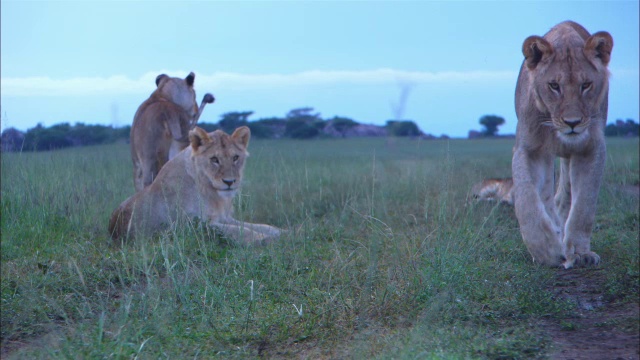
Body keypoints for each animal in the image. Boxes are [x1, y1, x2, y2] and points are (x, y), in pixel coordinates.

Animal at [110, 125, 282, 246]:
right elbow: (236, 230)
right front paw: (262, 239)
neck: (211, 192)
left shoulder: (223, 217)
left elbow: (257, 225)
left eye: (235, 157)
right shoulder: (192, 225)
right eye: (214, 159)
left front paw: (281, 231)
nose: (229, 182)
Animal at [512, 19, 612, 268]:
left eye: (586, 85)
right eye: (554, 86)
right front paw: (546, 250)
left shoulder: (591, 148)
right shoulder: (527, 149)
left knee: (564, 196)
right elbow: (527, 200)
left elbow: (584, 205)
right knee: (546, 197)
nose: (572, 123)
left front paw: (580, 253)